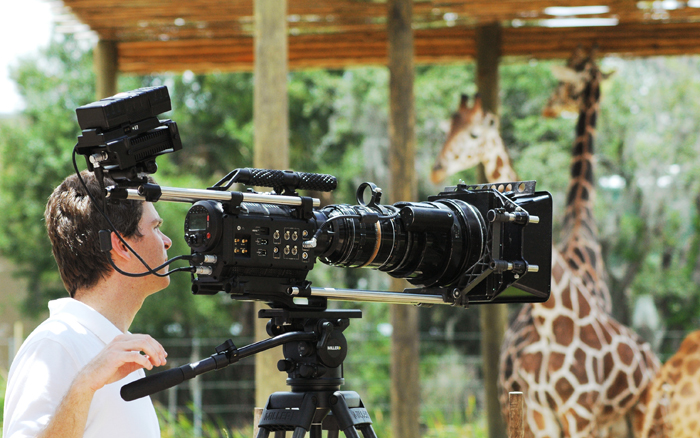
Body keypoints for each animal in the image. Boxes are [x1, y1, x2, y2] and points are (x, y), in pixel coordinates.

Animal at [430, 55, 664, 438]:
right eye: (447, 127)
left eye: (473, 133)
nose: (437, 169)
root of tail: (653, 360)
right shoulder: (548, 415)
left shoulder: (579, 415)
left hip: (646, 417)